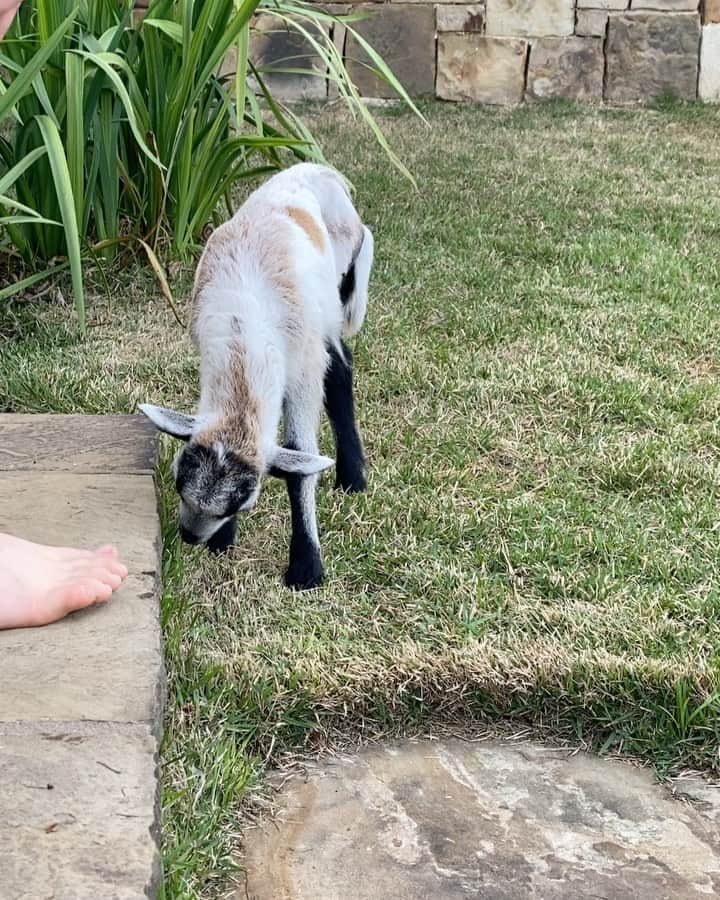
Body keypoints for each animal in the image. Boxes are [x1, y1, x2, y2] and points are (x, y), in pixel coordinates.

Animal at [140, 162, 374, 590]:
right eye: (179, 481)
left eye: (242, 499)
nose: (190, 536)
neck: (243, 328)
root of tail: (320, 168)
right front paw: (223, 542)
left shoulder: (302, 370)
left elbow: (301, 458)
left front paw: (306, 567)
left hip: (331, 305)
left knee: (340, 366)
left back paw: (352, 476)